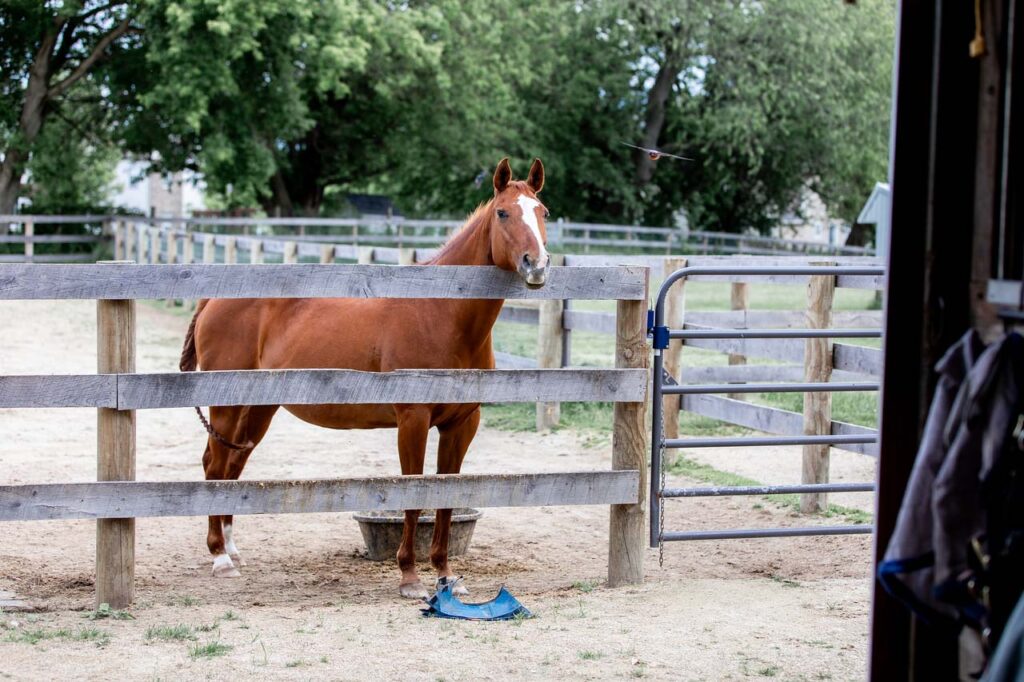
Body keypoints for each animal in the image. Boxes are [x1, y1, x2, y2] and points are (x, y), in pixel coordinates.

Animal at [180, 157, 548, 593]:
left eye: (543, 212)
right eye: (503, 212)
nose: (537, 265)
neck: (440, 312)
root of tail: (212, 299)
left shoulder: (462, 423)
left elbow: (445, 495)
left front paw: (445, 575)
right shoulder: (412, 420)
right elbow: (413, 492)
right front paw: (409, 576)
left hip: (258, 409)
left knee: (232, 466)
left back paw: (232, 549)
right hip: (227, 405)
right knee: (215, 465)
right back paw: (220, 556)